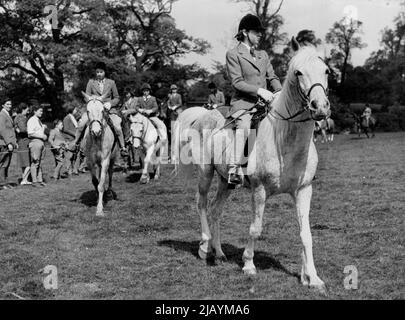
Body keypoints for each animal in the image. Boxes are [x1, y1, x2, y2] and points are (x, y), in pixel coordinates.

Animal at [172, 40, 330, 296]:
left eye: (326, 70)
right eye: (298, 72)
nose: (320, 108)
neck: (285, 138)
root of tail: (204, 113)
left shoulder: (304, 190)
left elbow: (306, 233)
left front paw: (312, 278)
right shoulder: (259, 190)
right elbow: (256, 228)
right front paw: (248, 264)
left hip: (226, 182)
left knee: (215, 210)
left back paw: (219, 253)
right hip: (205, 173)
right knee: (202, 204)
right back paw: (204, 248)